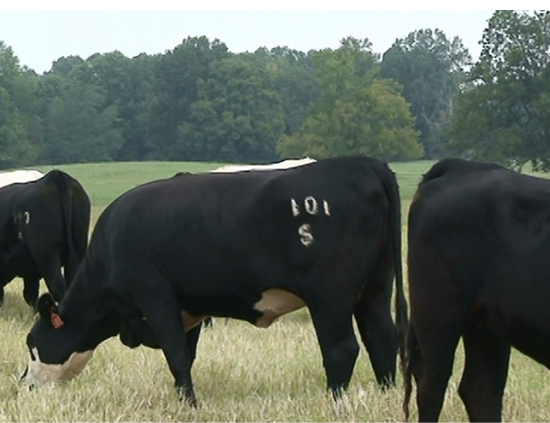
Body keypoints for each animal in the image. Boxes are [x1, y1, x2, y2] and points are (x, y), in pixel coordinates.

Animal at [22, 156, 410, 408]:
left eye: (32, 343)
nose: (23, 383)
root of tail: (363, 163)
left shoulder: (156, 297)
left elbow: (176, 354)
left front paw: (191, 406)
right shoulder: (189, 308)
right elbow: (187, 355)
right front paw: (184, 399)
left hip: (330, 297)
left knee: (342, 349)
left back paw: (335, 402)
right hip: (376, 288)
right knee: (382, 338)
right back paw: (385, 395)